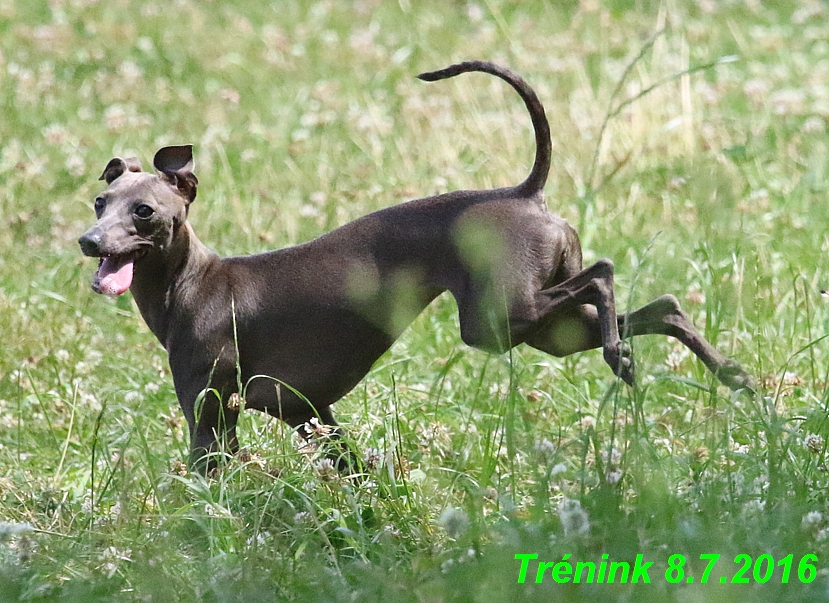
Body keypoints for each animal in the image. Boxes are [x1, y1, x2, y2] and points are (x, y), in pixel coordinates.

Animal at [79, 62, 752, 472]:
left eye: (144, 212)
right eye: (99, 202)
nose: (89, 242)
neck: (194, 284)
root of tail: (524, 193)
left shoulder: (211, 415)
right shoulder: (309, 412)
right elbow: (355, 471)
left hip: (501, 320)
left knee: (607, 274)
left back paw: (622, 354)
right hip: (544, 330)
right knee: (663, 306)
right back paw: (725, 373)